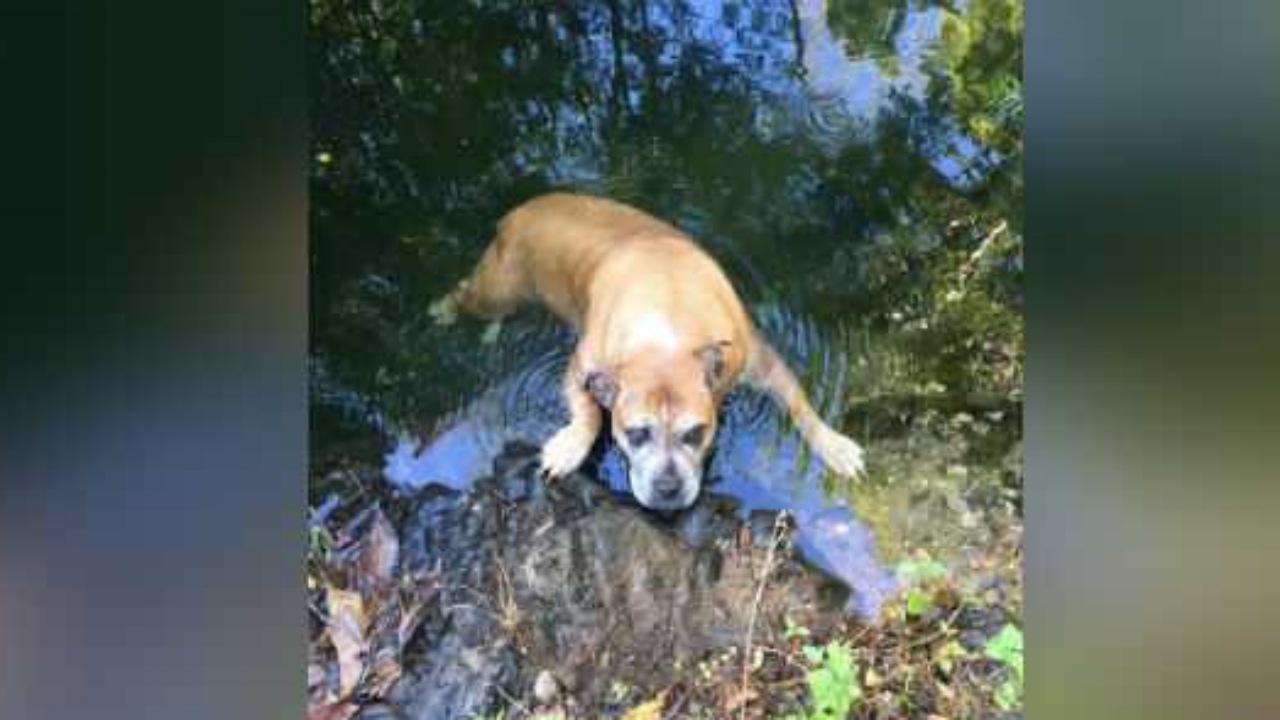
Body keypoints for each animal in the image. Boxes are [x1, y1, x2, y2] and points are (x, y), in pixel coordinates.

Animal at [432, 190, 870, 504]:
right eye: (636, 434)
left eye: (696, 433)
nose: (667, 488)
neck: (667, 329)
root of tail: (520, 210)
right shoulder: (581, 368)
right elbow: (588, 413)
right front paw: (569, 447)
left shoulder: (760, 362)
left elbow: (799, 402)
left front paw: (835, 446)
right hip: (501, 287)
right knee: (466, 292)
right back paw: (442, 310)